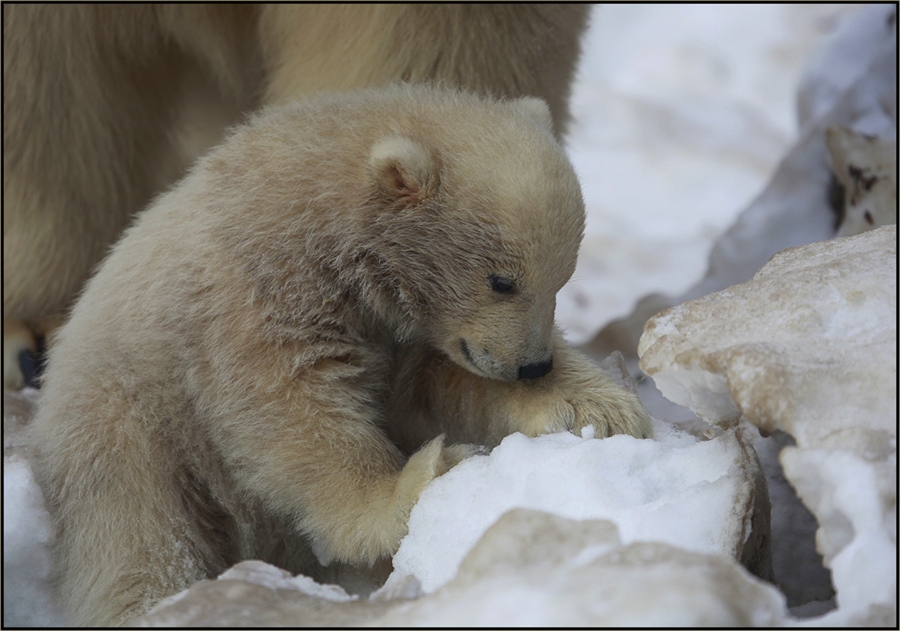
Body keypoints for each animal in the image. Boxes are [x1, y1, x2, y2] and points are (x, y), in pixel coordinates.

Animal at [31, 84, 652, 628]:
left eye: (562, 280)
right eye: (502, 281)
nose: (532, 366)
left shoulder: (407, 333)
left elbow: (438, 382)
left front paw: (599, 410)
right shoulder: (253, 294)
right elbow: (289, 409)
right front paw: (412, 485)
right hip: (127, 427)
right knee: (138, 532)